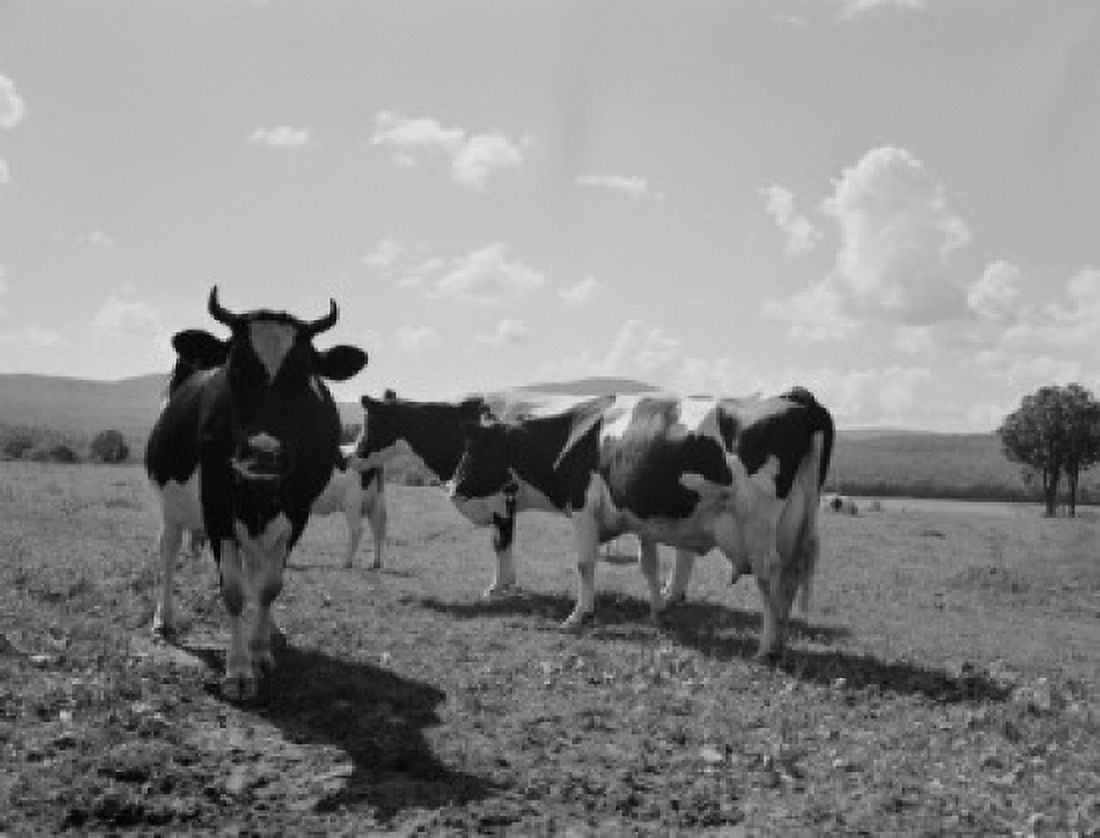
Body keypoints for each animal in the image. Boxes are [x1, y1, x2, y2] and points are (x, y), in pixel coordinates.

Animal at [145, 288, 368, 698]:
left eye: (305, 376)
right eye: (234, 371)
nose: (264, 452)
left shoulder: (297, 513)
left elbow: (269, 587)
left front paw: (260, 650)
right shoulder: (216, 510)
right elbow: (234, 591)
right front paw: (238, 672)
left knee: (258, 569)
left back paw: (269, 631)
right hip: (171, 506)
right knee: (168, 552)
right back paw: (164, 619)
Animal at [449, 388, 834, 660]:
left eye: (475, 446)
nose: (452, 488)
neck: (574, 432)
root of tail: (797, 399)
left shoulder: (583, 507)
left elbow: (584, 563)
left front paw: (579, 615)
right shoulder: (639, 518)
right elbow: (648, 566)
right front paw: (658, 612)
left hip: (758, 523)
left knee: (770, 576)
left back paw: (766, 648)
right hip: (793, 527)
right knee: (790, 578)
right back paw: (780, 642)